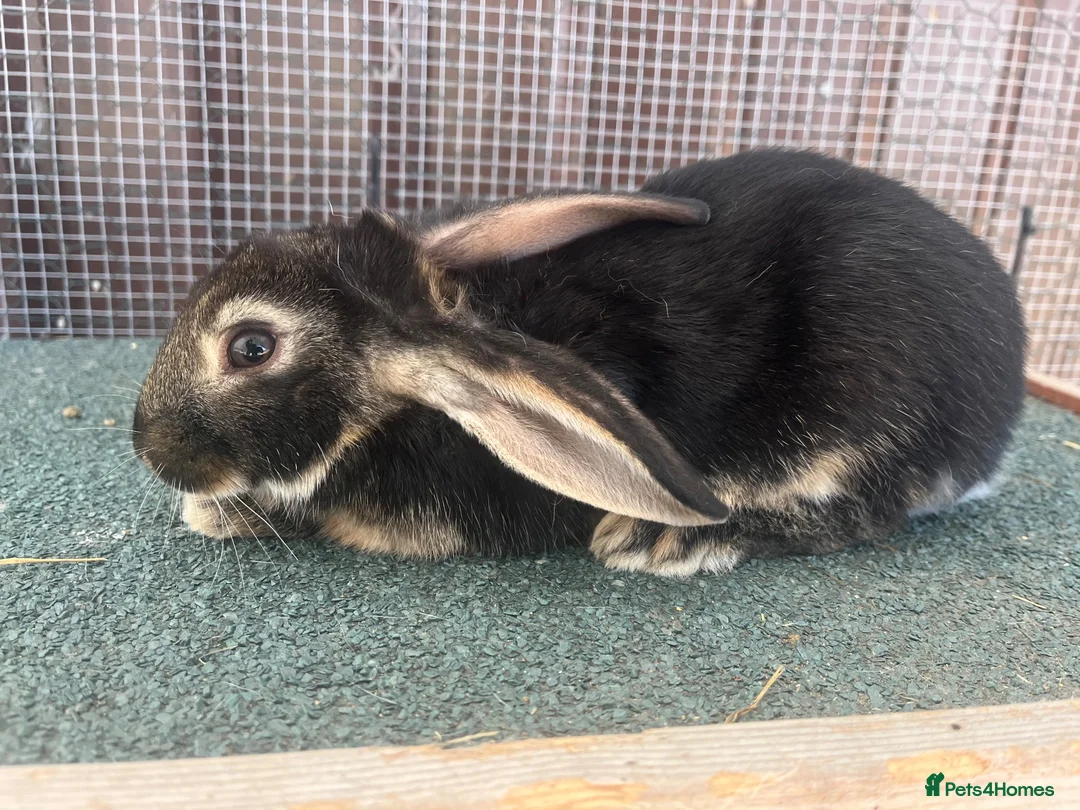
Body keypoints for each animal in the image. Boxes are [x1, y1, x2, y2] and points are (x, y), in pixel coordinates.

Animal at [133, 149, 1027, 577]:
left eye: (251, 347)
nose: (146, 444)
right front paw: (221, 512)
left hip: (853, 416)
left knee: (857, 516)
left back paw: (662, 541)